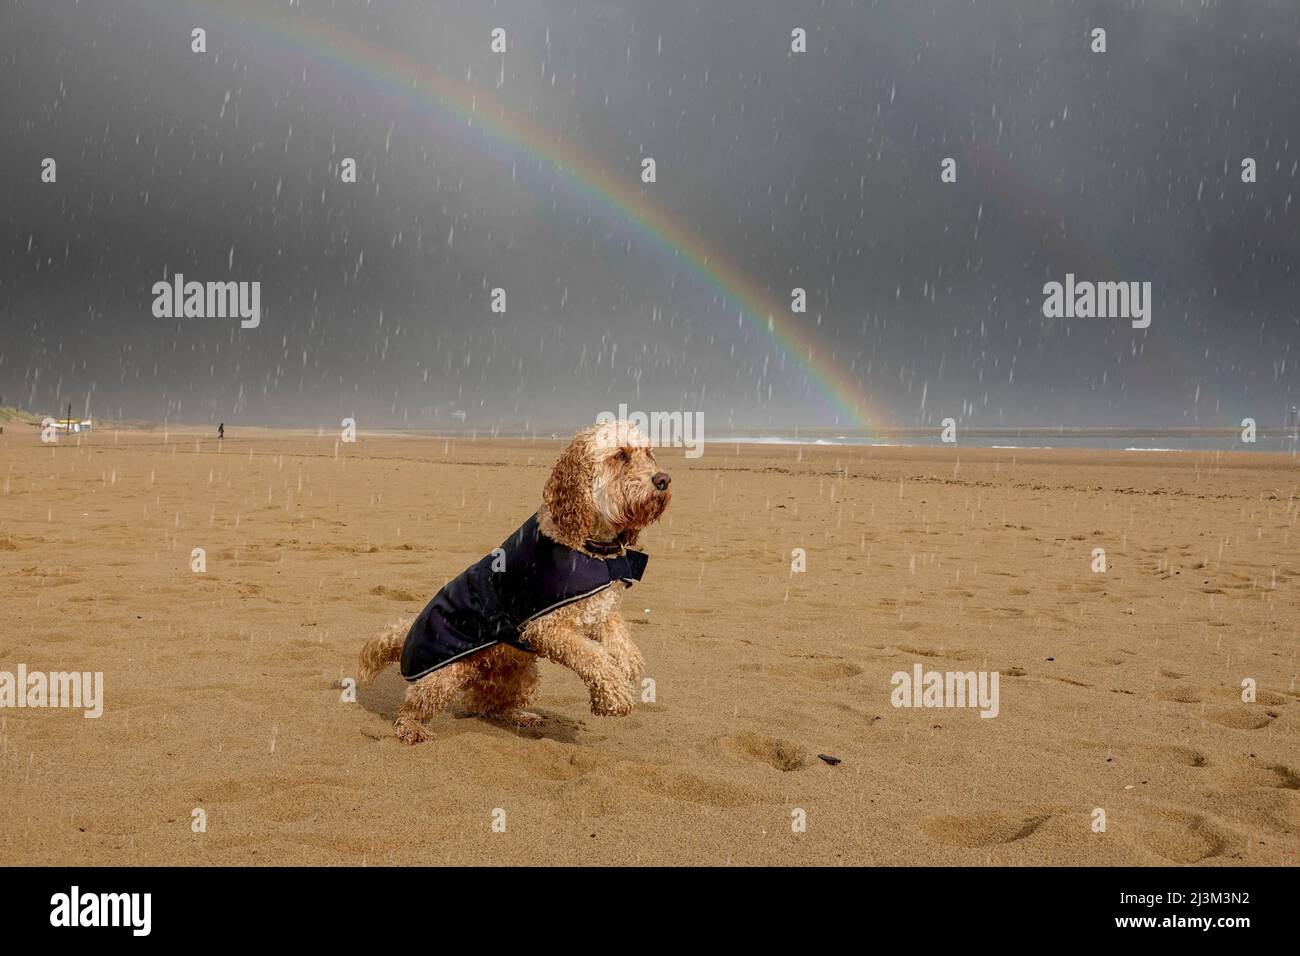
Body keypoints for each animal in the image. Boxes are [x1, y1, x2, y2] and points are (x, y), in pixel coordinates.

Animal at [361, 421, 676, 749]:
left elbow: (619, 637)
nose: (663, 480)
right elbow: (593, 656)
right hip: (443, 676)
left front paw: (628, 664)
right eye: (620, 455)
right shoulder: (548, 628)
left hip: (521, 673)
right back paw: (412, 728)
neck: (591, 547)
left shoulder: (599, 610)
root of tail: (406, 635)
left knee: (483, 704)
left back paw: (520, 716)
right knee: (412, 706)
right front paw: (614, 696)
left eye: (648, 453)